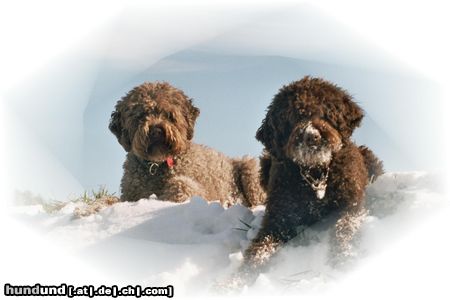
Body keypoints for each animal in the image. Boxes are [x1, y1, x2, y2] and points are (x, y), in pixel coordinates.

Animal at [109, 82, 266, 209]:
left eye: (169, 115)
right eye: (141, 115)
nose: (156, 130)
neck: (157, 165)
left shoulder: (199, 190)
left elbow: (181, 184)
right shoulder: (130, 194)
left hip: (250, 167)